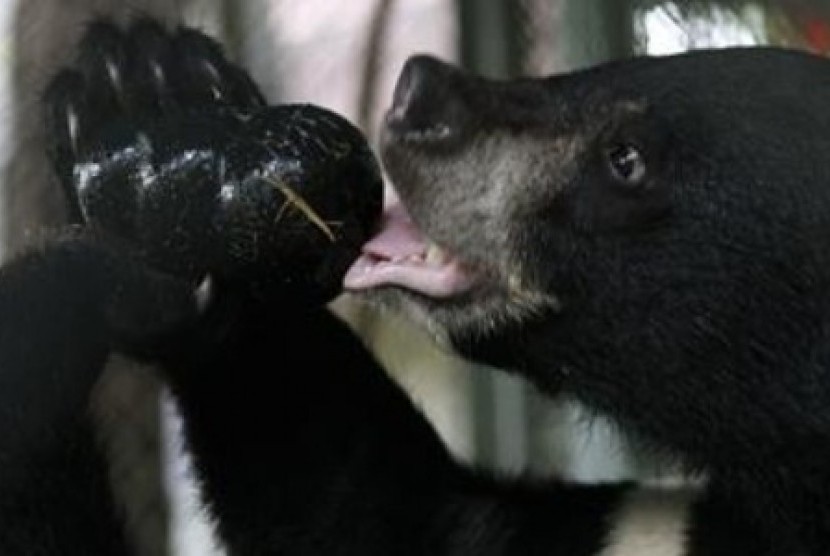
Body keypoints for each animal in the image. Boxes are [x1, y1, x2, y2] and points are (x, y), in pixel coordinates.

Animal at [1, 11, 830, 556]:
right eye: (607, 75)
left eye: (625, 160)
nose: (420, 89)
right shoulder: (646, 532)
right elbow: (380, 509)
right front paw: (149, 89)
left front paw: (49, 307)